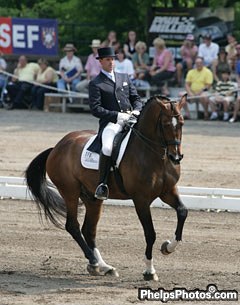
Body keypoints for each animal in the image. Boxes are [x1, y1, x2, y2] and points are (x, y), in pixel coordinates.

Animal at [25, 94, 188, 280]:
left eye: (181, 123)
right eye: (166, 124)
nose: (176, 157)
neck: (154, 155)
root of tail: (56, 147)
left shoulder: (168, 191)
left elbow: (182, 212)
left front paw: (167, 247)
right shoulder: (141, 199)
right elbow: (150, 233)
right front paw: (149, 271)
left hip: (92, 198)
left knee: (89, 230)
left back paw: (104, 267)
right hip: (70, 192)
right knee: (73, 226)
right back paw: (94, 262)